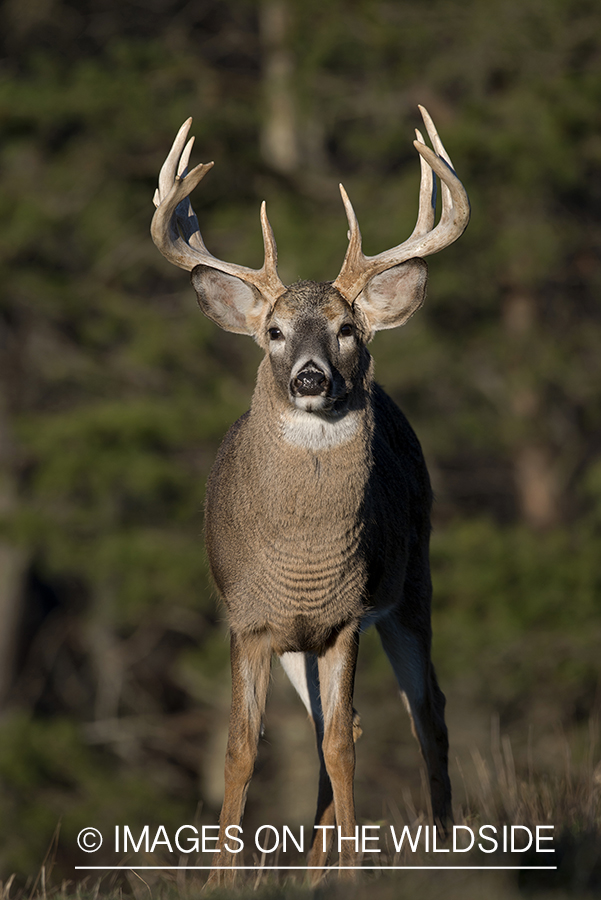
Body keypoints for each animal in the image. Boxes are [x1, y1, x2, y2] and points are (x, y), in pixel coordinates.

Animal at [150, 103, 468, 880]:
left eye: (348, 328)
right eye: (272, 331)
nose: (311, 376)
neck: (299, 559)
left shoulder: (345, 618)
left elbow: (341, 746)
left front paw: (355, 873)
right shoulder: (249, 620)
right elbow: (243, 748)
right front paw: (220, 881)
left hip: (413, 585)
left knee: (427, 712)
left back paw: (440, 853)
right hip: (304, 642)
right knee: (349, 717)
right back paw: (312, 873)